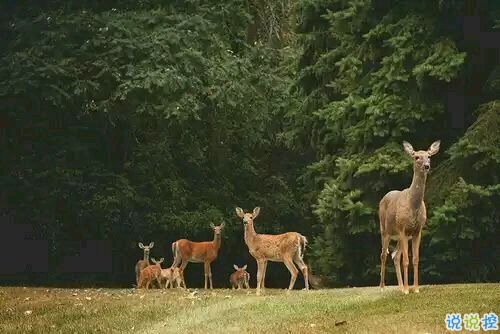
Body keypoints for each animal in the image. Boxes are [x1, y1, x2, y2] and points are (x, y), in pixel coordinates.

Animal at [378, 140, 442, 294]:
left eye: (429, 156)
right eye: (416, 157)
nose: (427, 166)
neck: (413, 206)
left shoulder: (417, 230)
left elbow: (415, 259)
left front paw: (416, 288)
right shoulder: (402, 227)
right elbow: (406, 260)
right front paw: (408, 290)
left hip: (402, 237)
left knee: (395, 255)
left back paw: (400, 287)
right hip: (385, 230)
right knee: (383, 254)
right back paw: (382, 287)